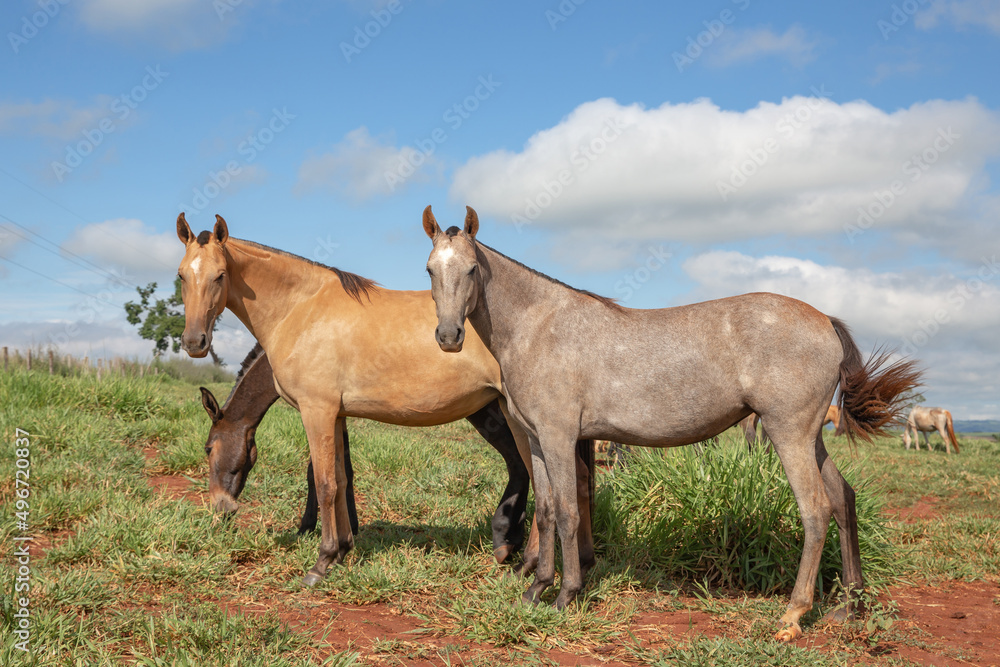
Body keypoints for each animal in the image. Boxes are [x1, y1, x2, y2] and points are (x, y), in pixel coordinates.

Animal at [175, 214, 592, 584]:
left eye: (219, 275)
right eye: (181, 275)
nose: (195, 342)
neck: (302, 309)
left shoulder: (317, 411)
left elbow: (323, 483)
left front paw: (322, 560)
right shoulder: (337, 415)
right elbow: (341, 478)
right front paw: (343, 548)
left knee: (539, 480)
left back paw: (527, 559)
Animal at [422, 206, 920, 644]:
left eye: (471, 269)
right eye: (429, 270)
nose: (448, 337)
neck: (539, 326)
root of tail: (825, 321)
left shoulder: (560, 437)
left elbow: (566, 513)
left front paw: (566, 594)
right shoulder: (539, 441)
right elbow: (545, 511)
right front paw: (536, 588)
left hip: (788, 434)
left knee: (815, 510)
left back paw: (793, 615)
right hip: (811, 437)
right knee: (843, 499)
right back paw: (848, 606)